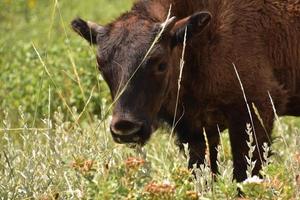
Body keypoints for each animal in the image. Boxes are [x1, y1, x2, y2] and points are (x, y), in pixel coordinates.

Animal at [72, 0, 300, 181]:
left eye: (160, 63)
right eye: (100, 65)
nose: (126, 128)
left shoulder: (253, 113)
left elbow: (245, 175)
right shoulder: (193, 130)